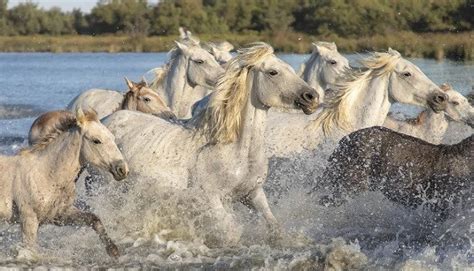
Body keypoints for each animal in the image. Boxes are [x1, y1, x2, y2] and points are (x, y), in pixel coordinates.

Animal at [0, 108, 129, 260]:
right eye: (96, 141)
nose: (122, 169)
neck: (45, 174)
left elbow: (94, 219)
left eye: (113, 138)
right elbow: (30, 249)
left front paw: (113, 250)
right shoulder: (29, 219)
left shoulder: (60, 215)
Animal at [102, 43, 320, 246]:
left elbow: (274, 227)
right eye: (273, 72)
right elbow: (232, 232)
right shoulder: (210, 199)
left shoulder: (253, 194)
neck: (235, 150)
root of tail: (106, 119)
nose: (312, 97)